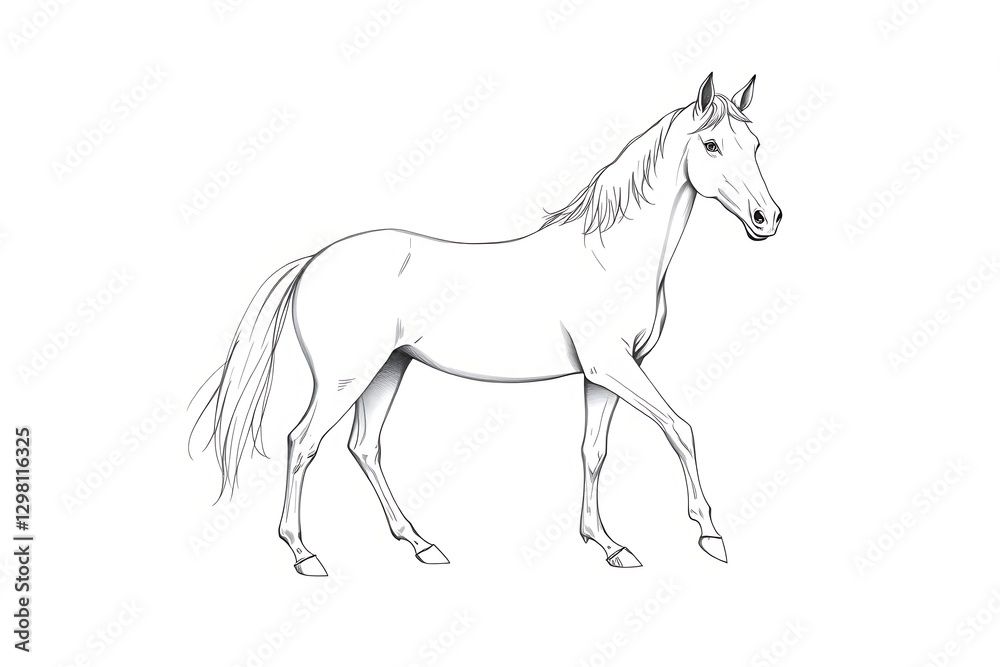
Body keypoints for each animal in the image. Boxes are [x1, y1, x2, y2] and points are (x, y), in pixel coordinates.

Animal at [191, 73, 782, 575]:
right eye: (711, 145)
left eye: (754, 145)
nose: (767, 219)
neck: (606, 255)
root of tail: (314, 260)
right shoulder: (613, 367)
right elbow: (680, 429)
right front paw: (710, 536)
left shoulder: (606, 374)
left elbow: (593, 452)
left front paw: (608, 545)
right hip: (345, 377)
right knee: (302, 442)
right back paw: (304, 554)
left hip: (389, 369)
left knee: (364, 447)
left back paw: (420, 544)